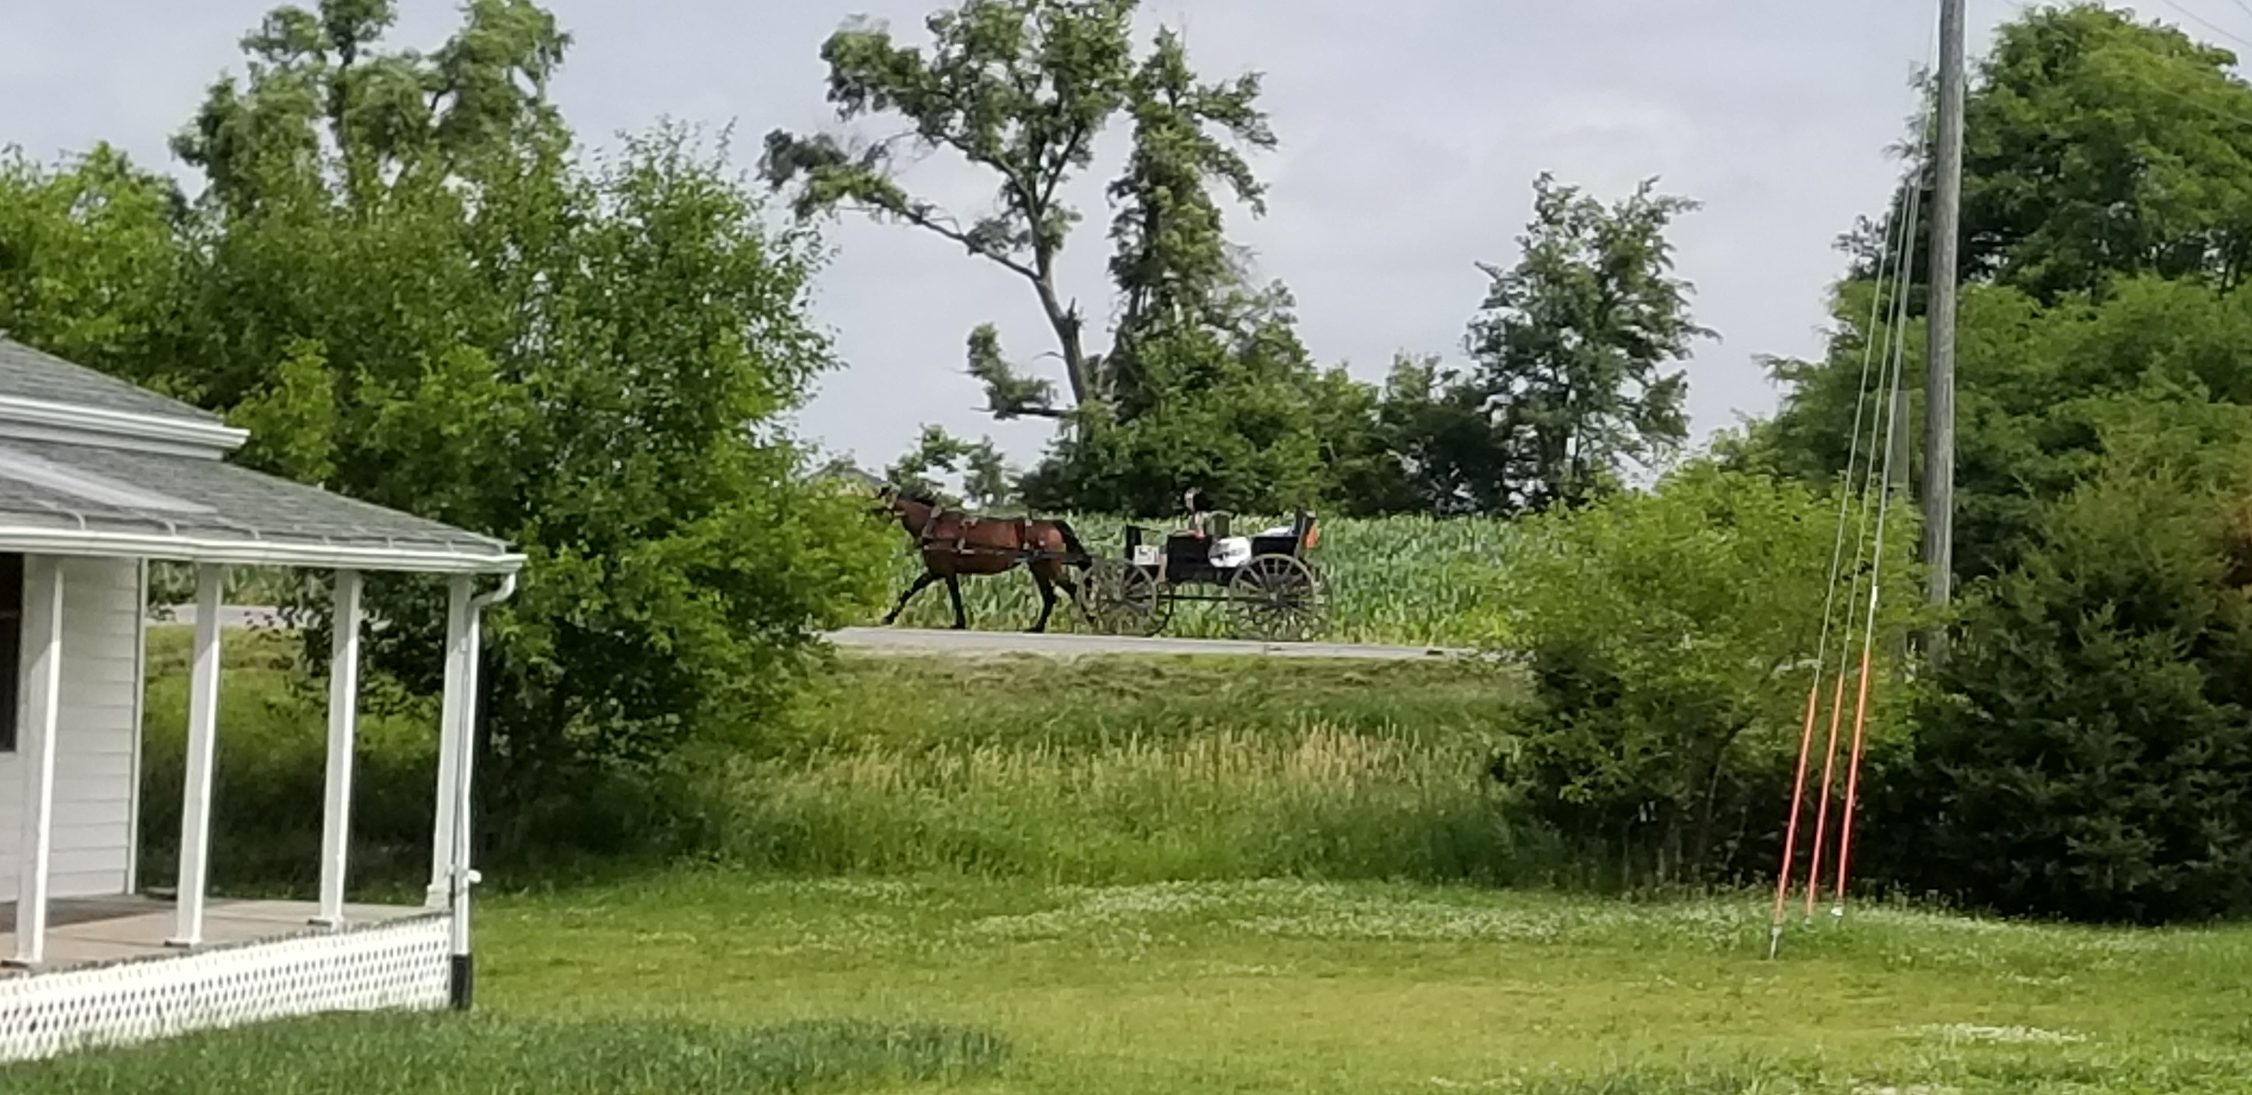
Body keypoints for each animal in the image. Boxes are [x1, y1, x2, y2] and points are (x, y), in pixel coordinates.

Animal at [873, 487, 1092, 633]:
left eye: (879, 507)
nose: (871, 526)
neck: (933, 525)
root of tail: (1052, 525)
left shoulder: (946, 570)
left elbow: (954, 595)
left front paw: (959, 623)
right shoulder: (935, 571)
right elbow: (911, 590)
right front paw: (888, 617)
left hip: (1049, 567)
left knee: (1070, 589)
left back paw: (1091, 620)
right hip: (1038, 568)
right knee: (1050, 596)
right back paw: (1037, 627)